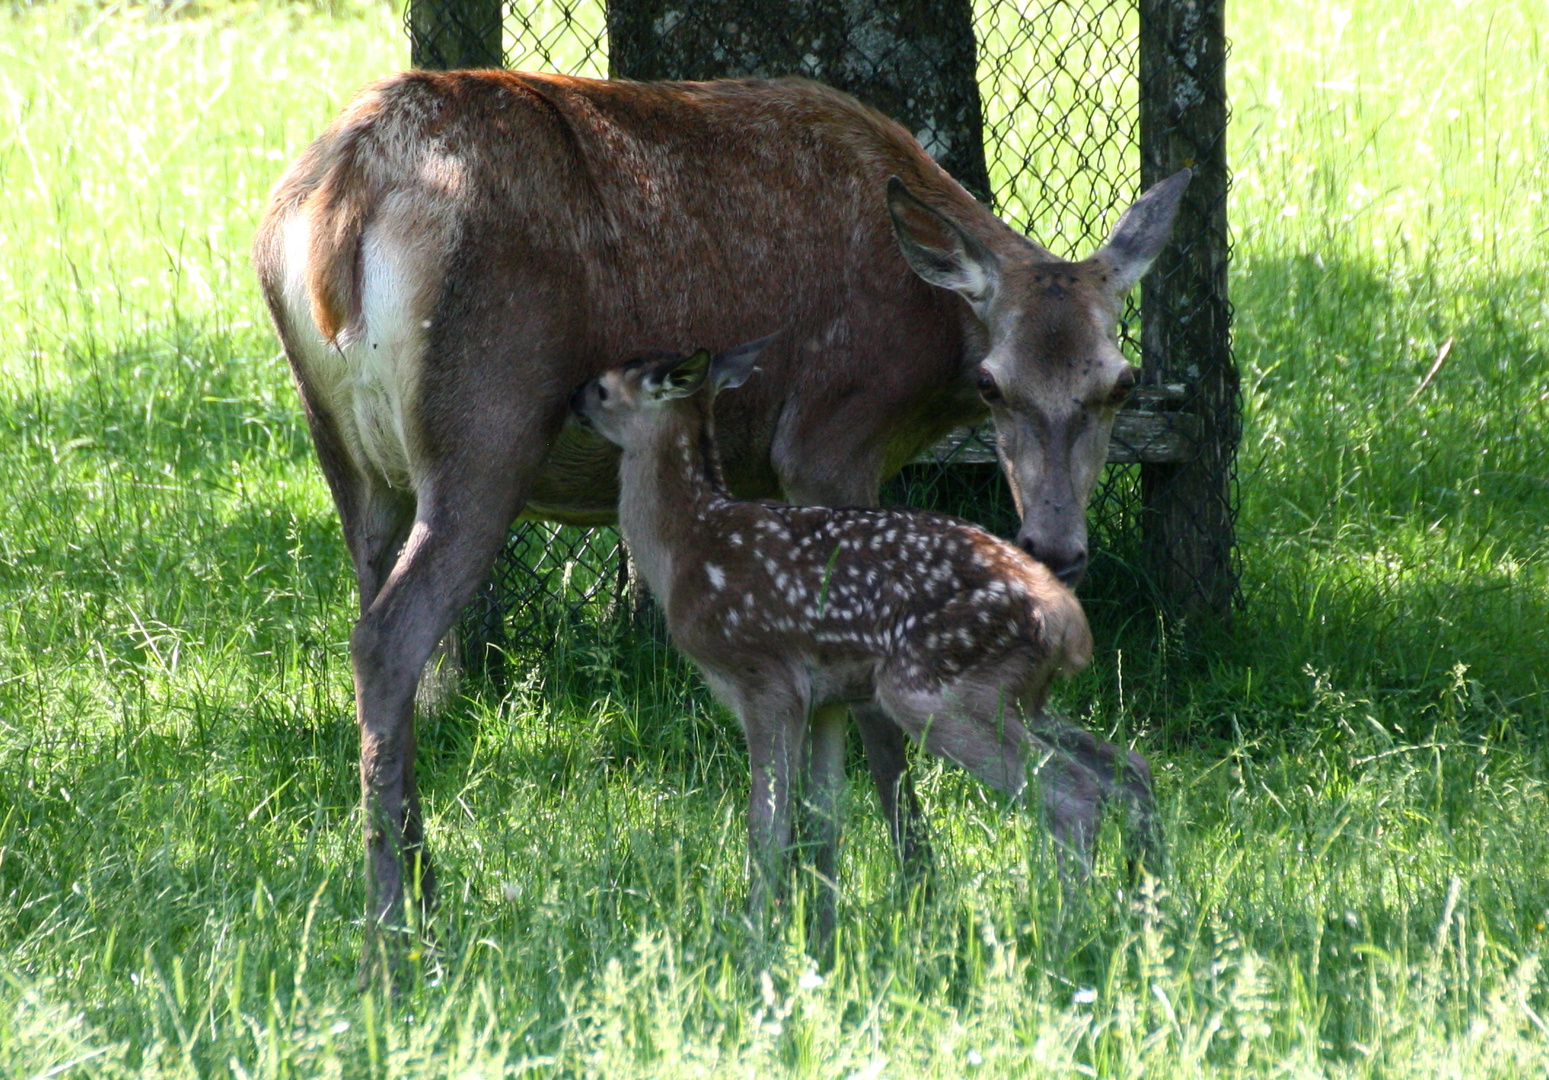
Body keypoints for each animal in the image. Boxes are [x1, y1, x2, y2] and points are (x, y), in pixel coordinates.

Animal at [576, 340, 1158, 942]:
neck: (686, 547)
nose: (574, 401)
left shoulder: (764, 677)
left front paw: (755, 933)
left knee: (1074, 792)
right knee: (1130, 769)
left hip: (932, 686)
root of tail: (1067, 619)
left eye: (603, 387)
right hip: (1018, 695)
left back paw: (1071, 929)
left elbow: (767, 823)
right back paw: (1145, 908)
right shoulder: (829, 699)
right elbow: (824, 820)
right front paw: (819, 934)